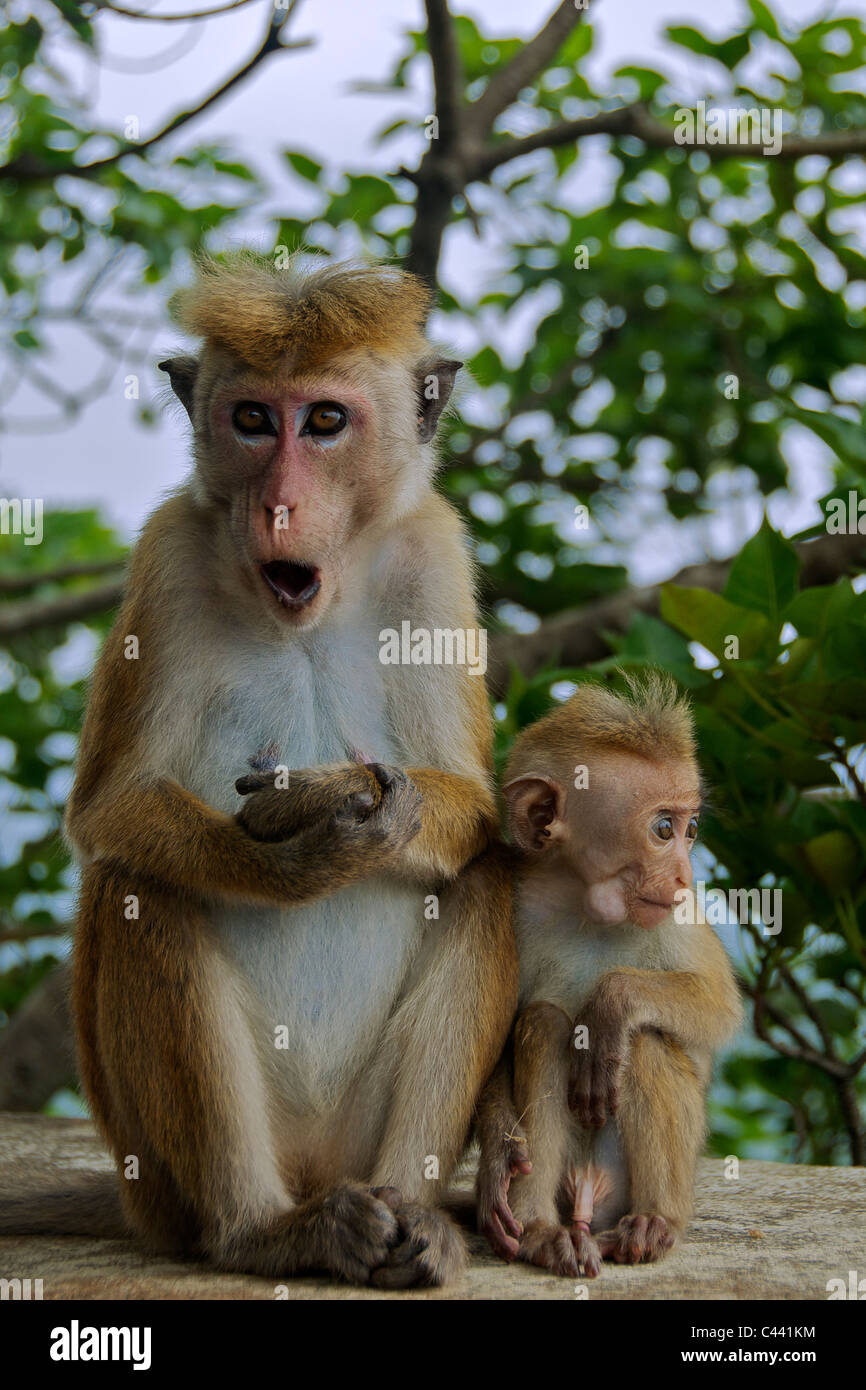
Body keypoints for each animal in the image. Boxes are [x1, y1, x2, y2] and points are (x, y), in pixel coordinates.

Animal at [64, 255, 517, 1284]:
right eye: (252, 419)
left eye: (324, 421)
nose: (278, 504)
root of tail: (315, 1170)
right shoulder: (168, 556)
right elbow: (111, 810)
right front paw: (298, 853)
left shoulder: (434, 553)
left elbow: (472, 806)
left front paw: (337, 798)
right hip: (158, 1182)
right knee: (142, 885)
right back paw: (263, 1229)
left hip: (356, 1133)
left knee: (484, 879)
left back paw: (413, 1217)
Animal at [478, 678, 739, 1273]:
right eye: (664, 829)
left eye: (692, 828)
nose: (684, 874)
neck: (590, 908)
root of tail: (590, 1196)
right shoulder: (512, 908)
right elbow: (503, 1040)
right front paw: (498, 1159)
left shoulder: (679, 916)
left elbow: (719, 1006)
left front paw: (611, 1002)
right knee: (544, 1022)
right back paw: (542, 1231)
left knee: (643, 1042)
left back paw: (654, 1223)